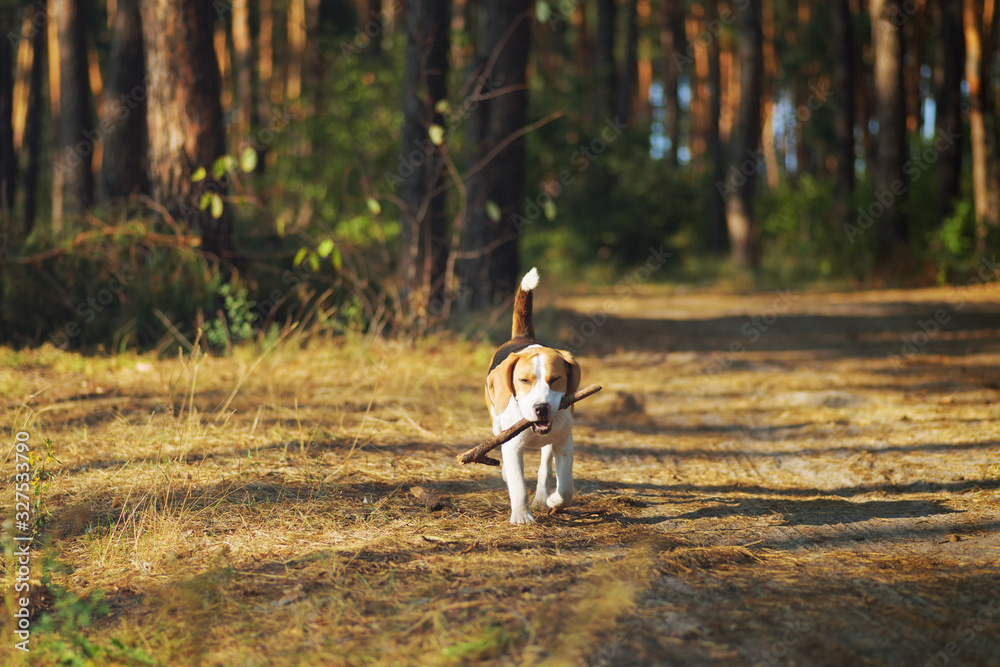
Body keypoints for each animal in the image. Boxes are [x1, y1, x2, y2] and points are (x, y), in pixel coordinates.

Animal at [486, 268, 584, 524]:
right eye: (524, 381)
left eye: (555, 379)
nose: (541, 408)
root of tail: (522, 337)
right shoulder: (511, 447)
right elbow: (519, 485)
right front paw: (522, 516)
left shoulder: (564, 441)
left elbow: (566, 488)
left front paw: (553, 501)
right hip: (496, 424)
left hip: (550, 443)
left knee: (545, 468)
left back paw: (542, 496)